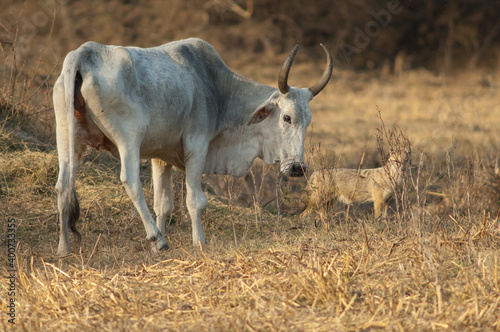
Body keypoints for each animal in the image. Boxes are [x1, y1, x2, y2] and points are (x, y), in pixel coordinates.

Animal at [53, 37, 332, 254]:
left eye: (307, 121)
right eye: (287, 117)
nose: (297, 168)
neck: (216, 88)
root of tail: (84, 53)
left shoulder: (160, 156)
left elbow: (163, 204)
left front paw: (159, 245)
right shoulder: (197, 146)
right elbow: (196, 200)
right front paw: (198, 242)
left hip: (67, 136)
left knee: (63, 185)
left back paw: (64, 248)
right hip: (129, 139)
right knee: (130, 180)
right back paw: (154, 237)